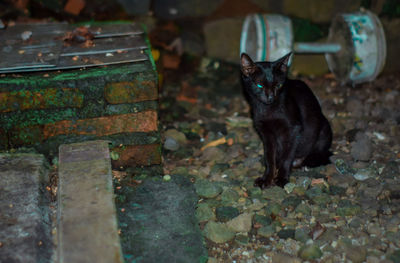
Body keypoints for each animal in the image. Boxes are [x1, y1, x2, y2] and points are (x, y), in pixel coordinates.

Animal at [241, 53, 332, 190]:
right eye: (259, 85)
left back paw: (306, 162)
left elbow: (287, 155)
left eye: (278, 86)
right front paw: (266, 179)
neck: (267, 109)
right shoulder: (266, 134)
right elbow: (269, 158)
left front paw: (282, 179)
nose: (270, 97)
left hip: (324, 128)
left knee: (323, 155)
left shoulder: (293, 130)